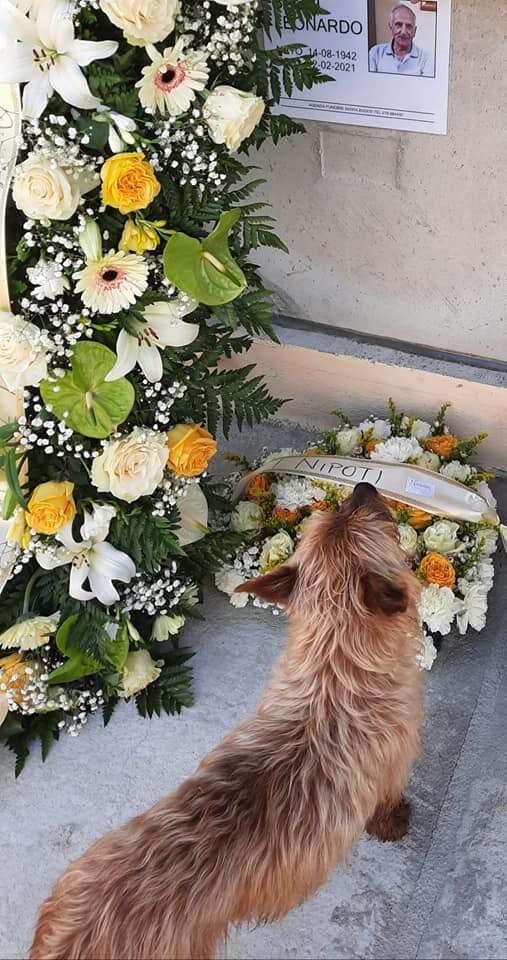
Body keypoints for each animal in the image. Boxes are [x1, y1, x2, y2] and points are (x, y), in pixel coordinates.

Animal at [29, 488, 422, 960]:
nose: (365, 487)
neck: (335, 659)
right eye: (368, 515)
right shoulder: (393, 765)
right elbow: (386, 804)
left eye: (341, 512)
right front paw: (395, 824)